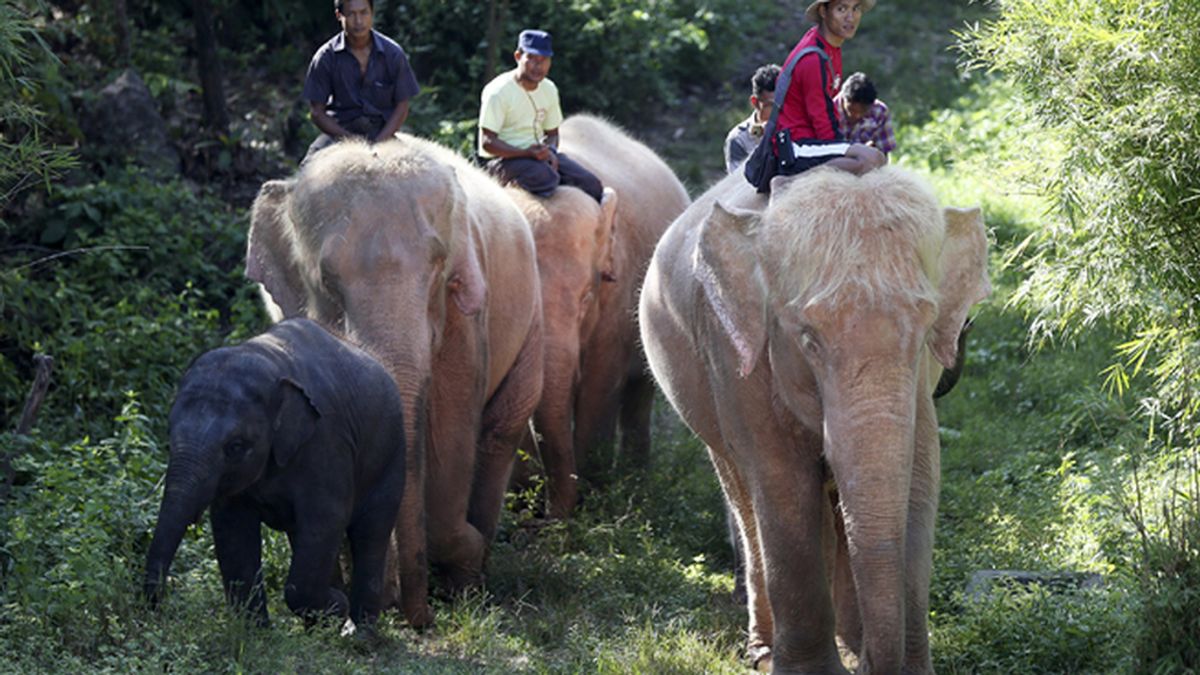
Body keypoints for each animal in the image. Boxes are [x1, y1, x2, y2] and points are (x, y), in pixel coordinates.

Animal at [144, 314, 408, 624]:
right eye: (169, 437)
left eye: (235, 446)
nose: (156, 607)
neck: (269, 360)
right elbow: (232, 529)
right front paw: (255, 630)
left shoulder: (327, 443)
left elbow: (326, 518)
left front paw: (336, 607)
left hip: (392, 456)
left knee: (370, 534)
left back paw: (360, 629)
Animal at [244, 133, 544, 629]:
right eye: (326, 278)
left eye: (439, 266)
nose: (420, 618)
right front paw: (363, 604)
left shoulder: (464, 320)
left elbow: (451, 433)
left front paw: (458, 571)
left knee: (500, 429)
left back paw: (473, 577)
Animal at [523, 115, 686, 514]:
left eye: (587, 296)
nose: (551, 515)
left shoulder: (618, 294)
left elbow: (601, 384)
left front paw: (592, 496)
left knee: (640, 391)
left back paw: (635, 478)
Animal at [643, 164, 988, 672]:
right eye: (808, 340)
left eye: (926, 330)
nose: (870, 666)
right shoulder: (737, 358)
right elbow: (783, 482)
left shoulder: (920, 389)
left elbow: (920, 481)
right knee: (744, 497)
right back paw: (764, 651)